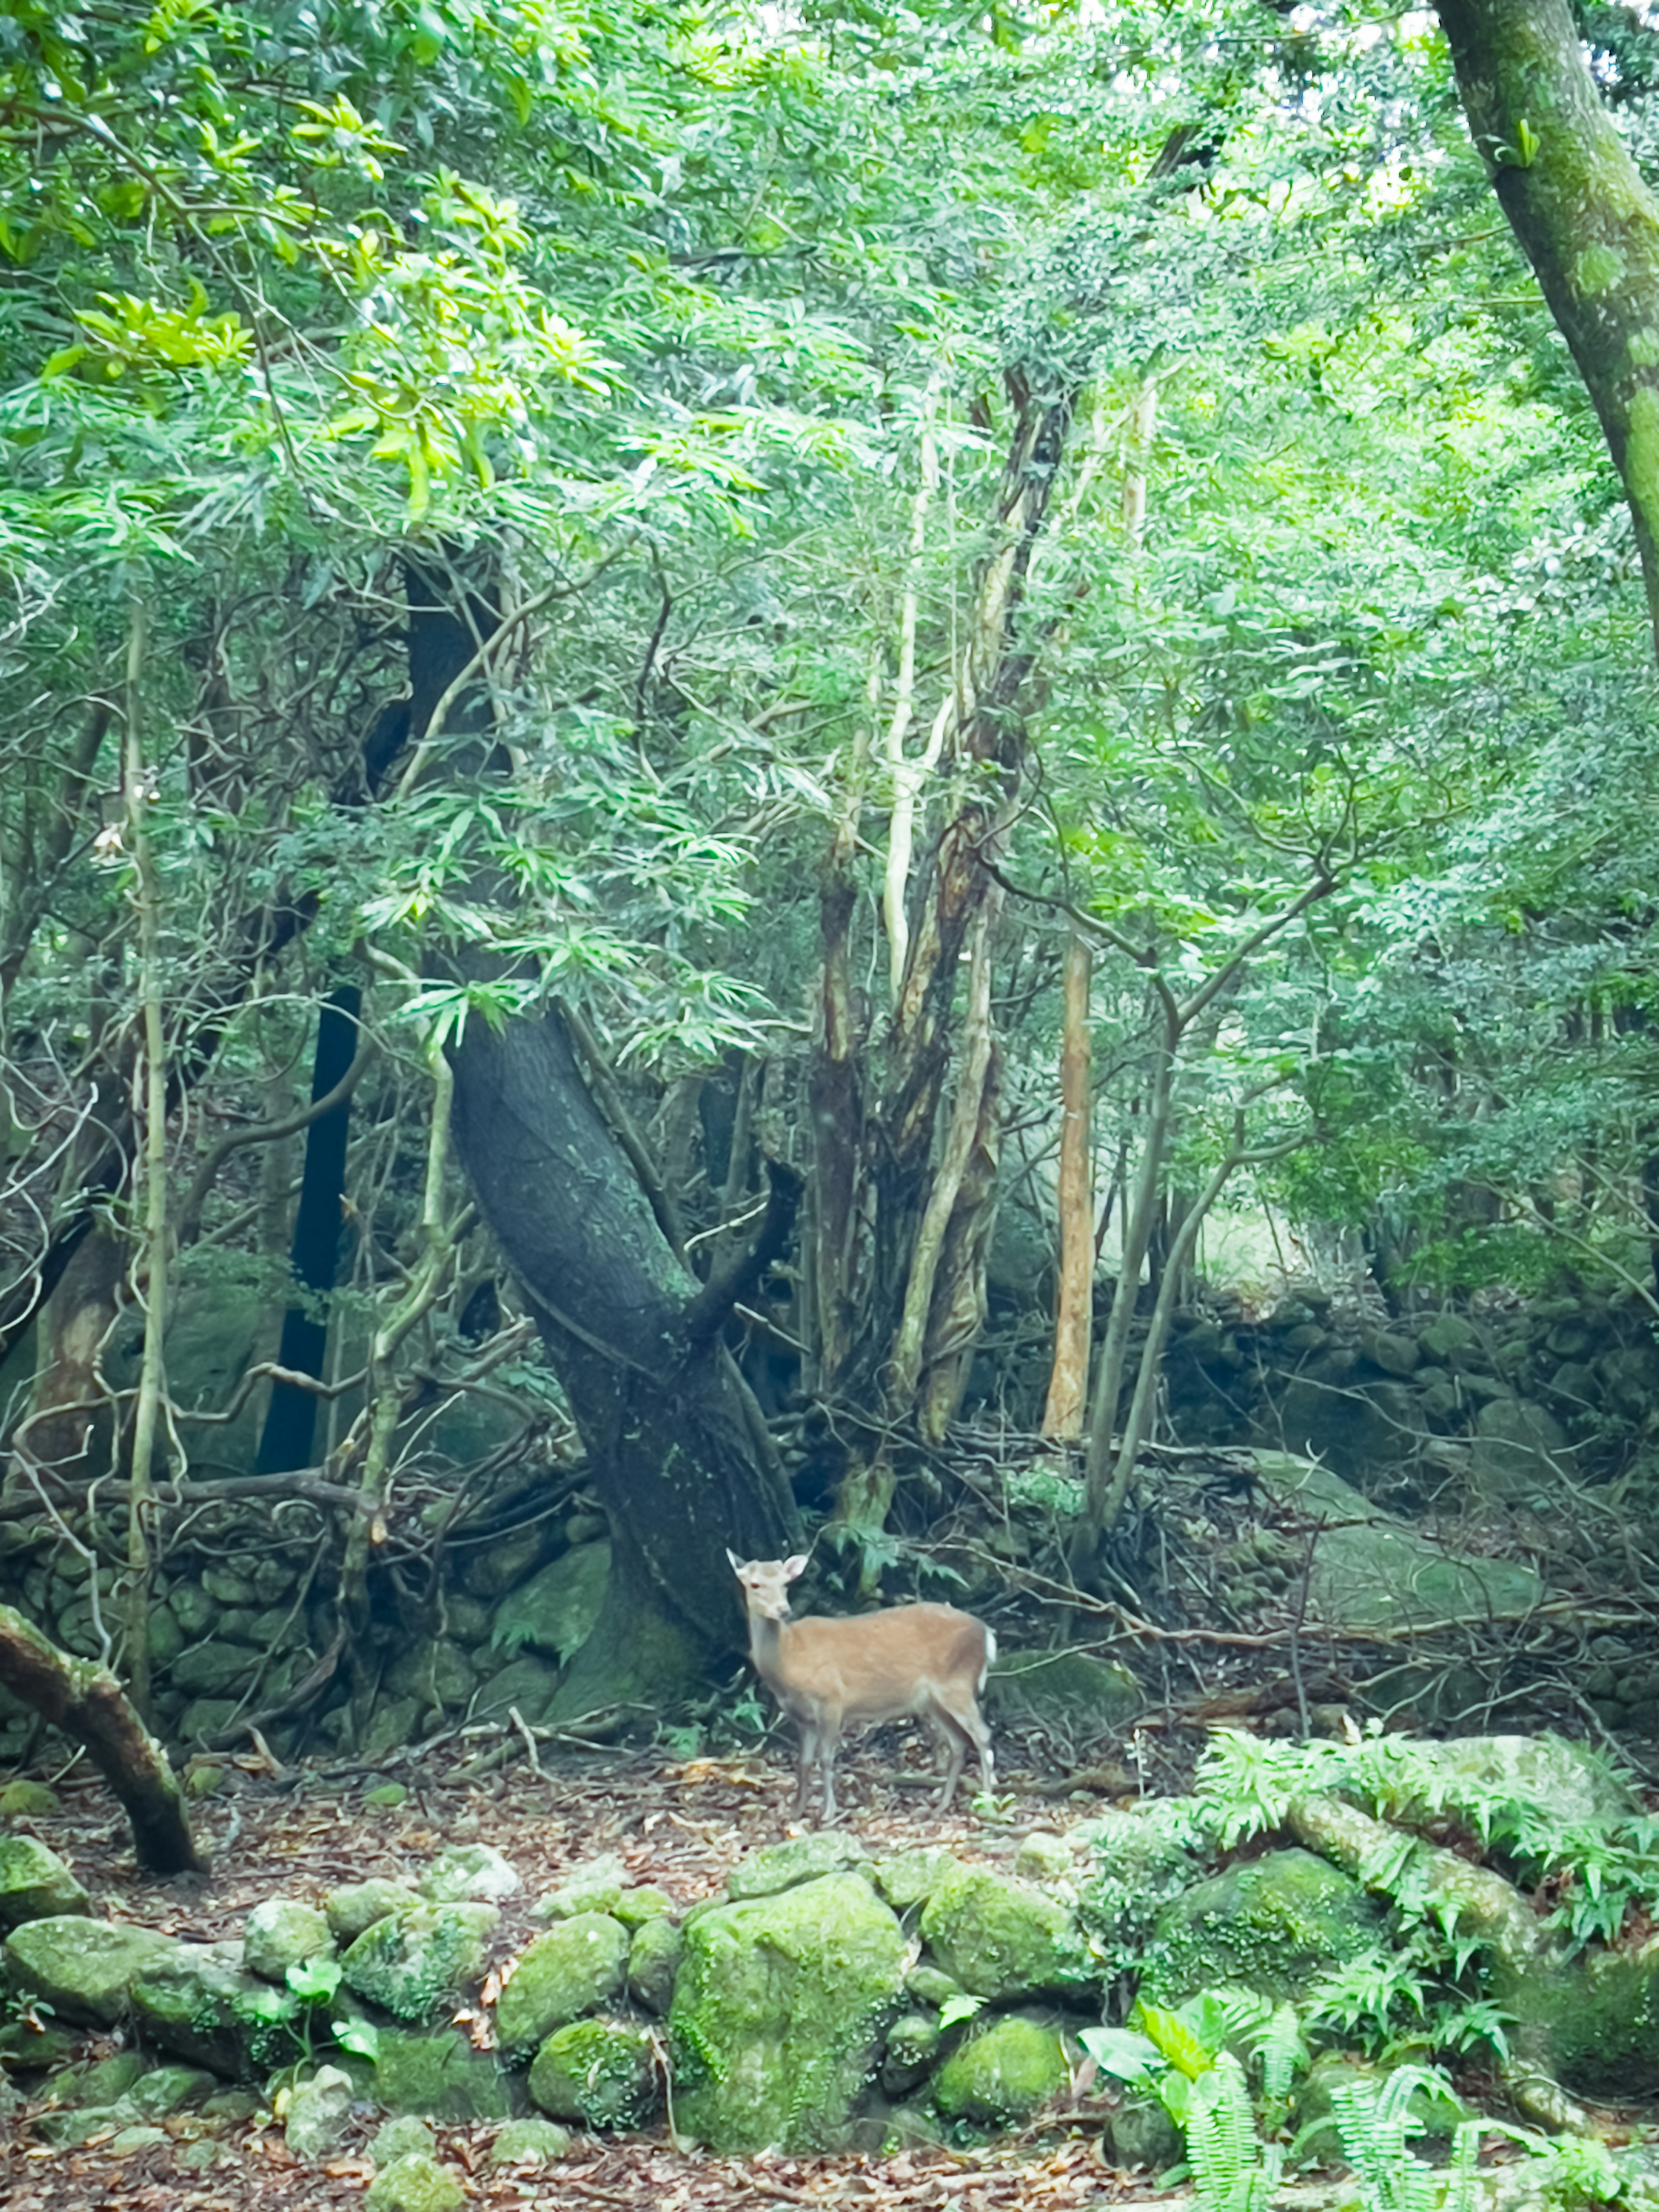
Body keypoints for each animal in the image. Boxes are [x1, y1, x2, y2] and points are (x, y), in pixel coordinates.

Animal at [730, 1548, 1000, 1822]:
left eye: (786, 1584)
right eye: (755, 1584)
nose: (783, 1611)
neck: (789, 1660)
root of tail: (988, 1634)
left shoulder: (832, 1698)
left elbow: (826, 1759)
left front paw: (829, 1812)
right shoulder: (799, 1715)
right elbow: (803, 1762)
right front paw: (796, 1812)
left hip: (956, 1683)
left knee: (982, 1734)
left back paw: (987, 1803)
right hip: (933, 1700)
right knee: (959, 1743)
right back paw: (942, 1806)